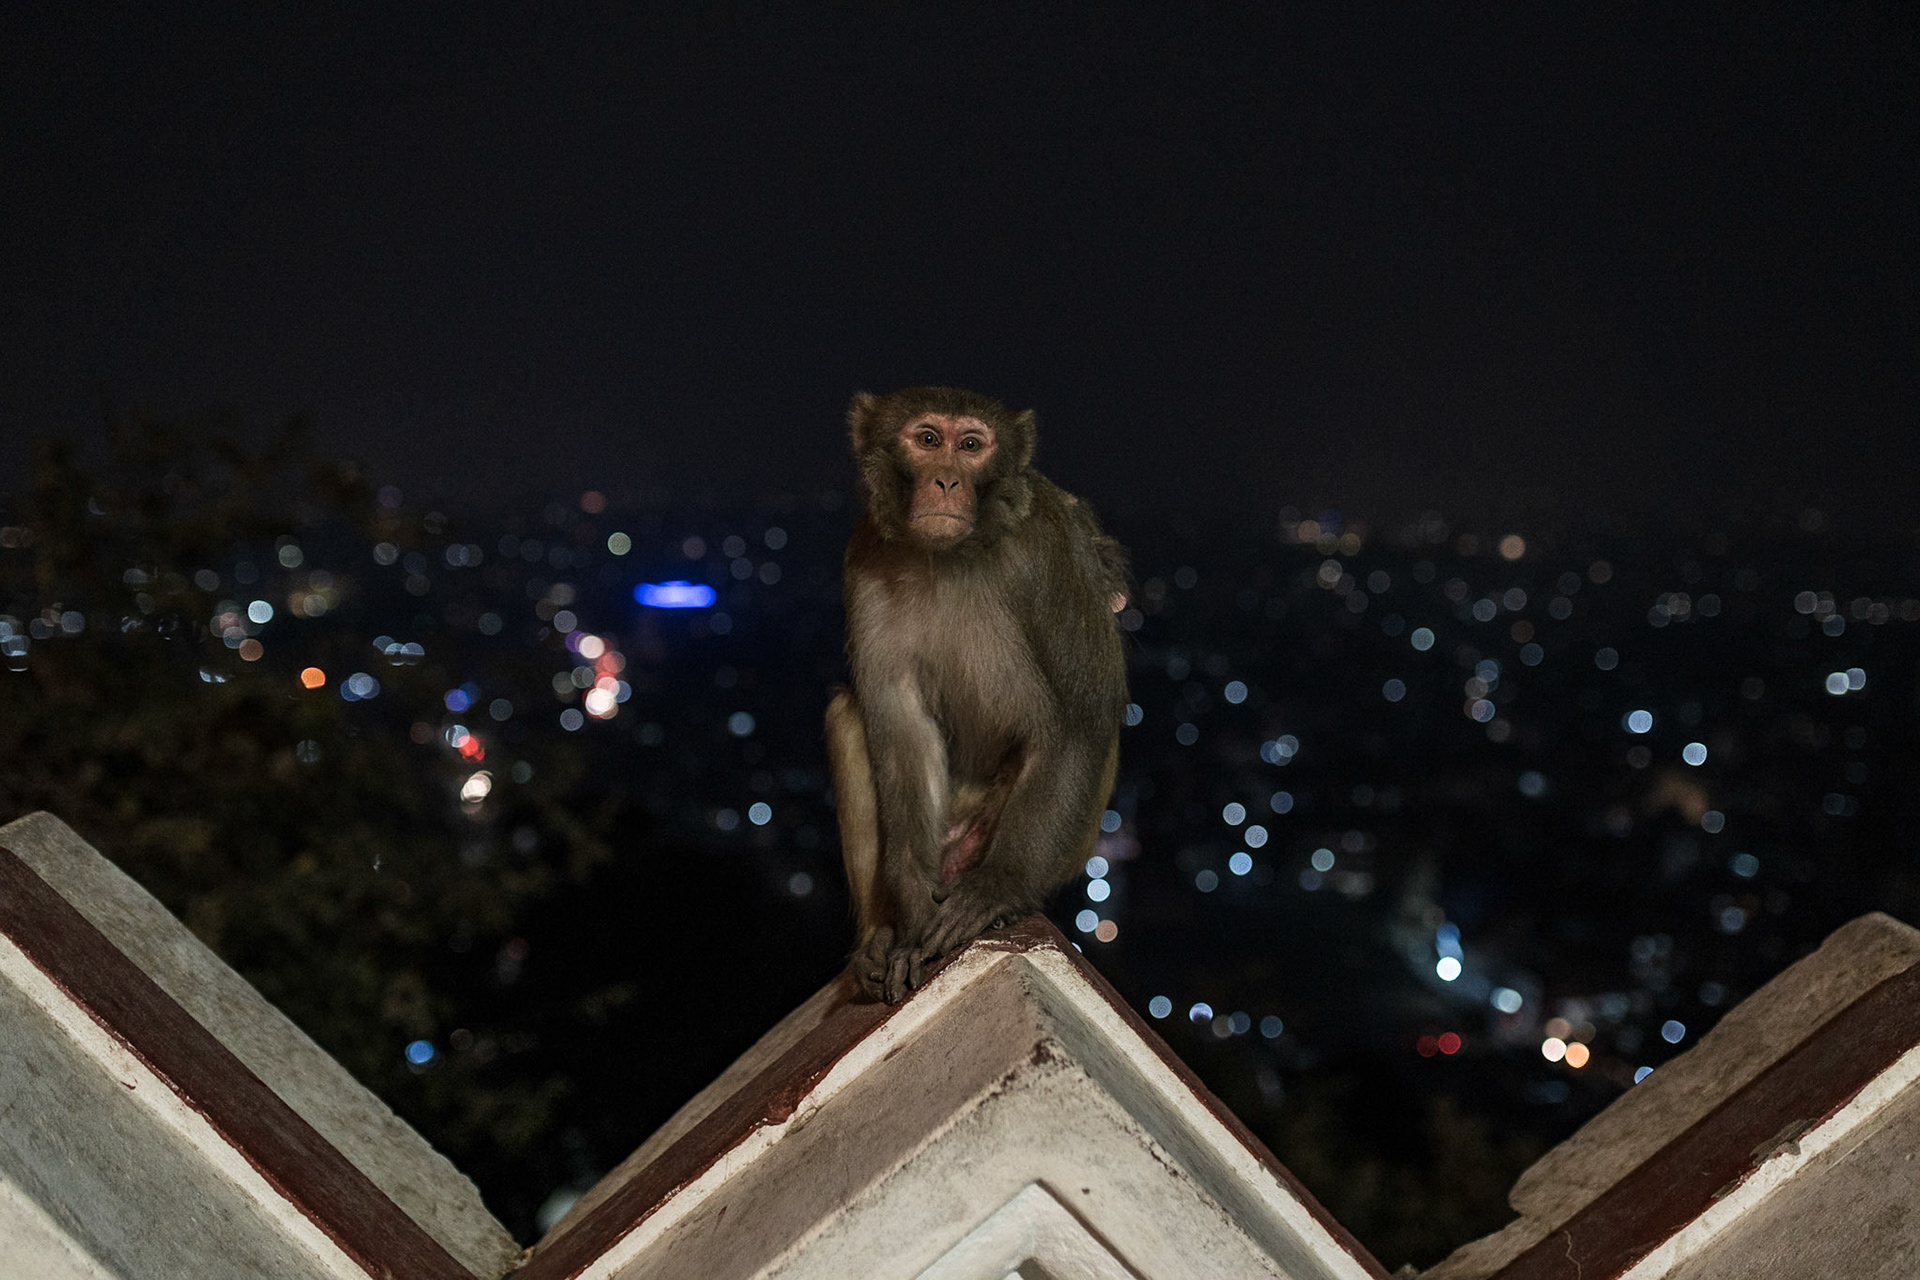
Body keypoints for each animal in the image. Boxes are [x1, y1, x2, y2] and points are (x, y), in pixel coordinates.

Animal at [825, 386, 1129, 1003]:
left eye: (970, 445)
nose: (946, 481)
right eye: (927, 440)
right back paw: (877, 935)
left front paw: (998, 888)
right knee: (849, 713)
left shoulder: (1049, 549)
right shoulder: (864, 559)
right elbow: (901, 730)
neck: (951, 554)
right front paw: (912, 917)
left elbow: (1079, 719)